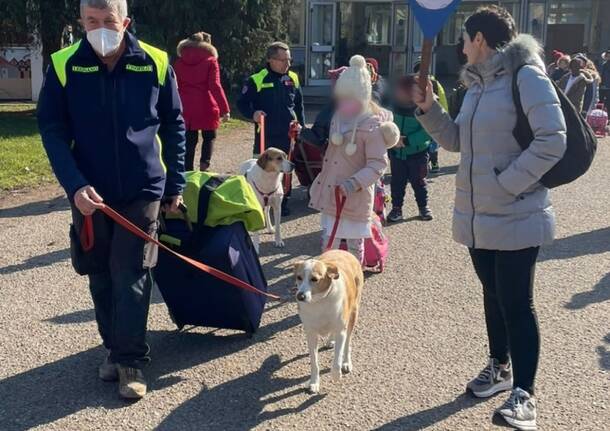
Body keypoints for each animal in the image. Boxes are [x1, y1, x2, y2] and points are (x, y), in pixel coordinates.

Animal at [294, 250, 364, 394]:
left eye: (314, 279)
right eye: (299, 277)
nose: (300, 296)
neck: (319, 301)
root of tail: (344, 251)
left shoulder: (341, 331)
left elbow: (337, 356)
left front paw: (336, 374)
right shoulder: (311, 334)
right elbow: (314, 362)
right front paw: (314, 382)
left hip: (353, 314)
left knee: (347, 343)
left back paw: (346, 362)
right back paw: (331, 340)